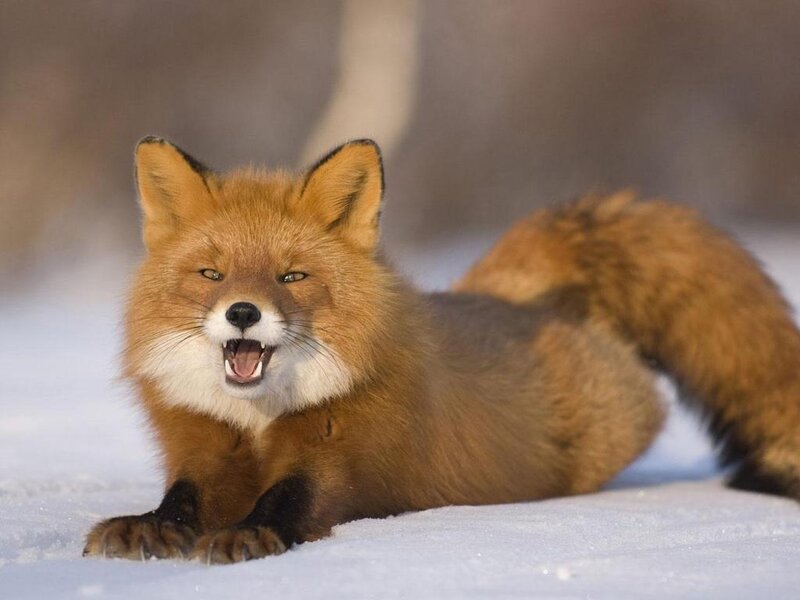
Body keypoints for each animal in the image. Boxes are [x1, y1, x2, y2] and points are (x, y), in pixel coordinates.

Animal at [83, 136, 800, 564]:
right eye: (212, 274)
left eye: (291, 276)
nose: (242, 312)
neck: (259, 420)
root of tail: (511, 296)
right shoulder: (203, 446)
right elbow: (182, 498)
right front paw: (148, 525)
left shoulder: (343, 453)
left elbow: (292, 500)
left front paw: (250, 532)